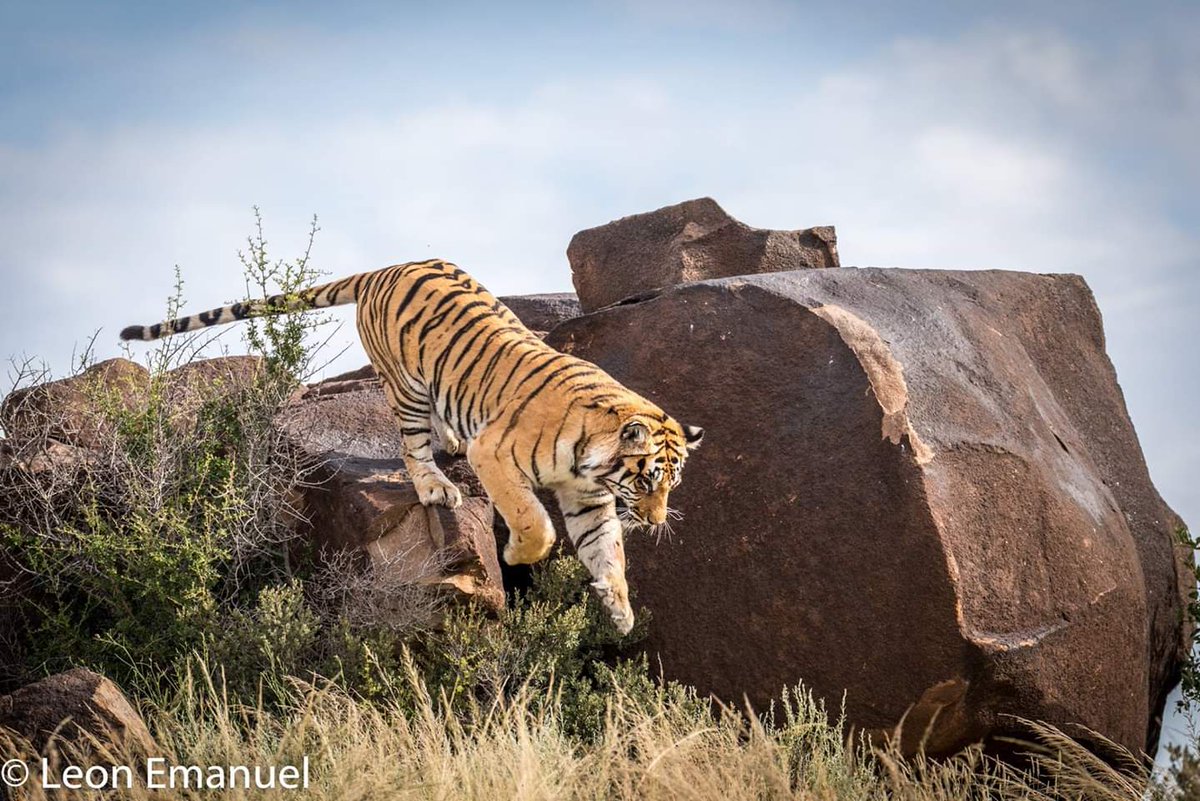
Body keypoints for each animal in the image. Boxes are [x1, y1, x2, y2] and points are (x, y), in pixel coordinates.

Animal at [120, 259, 702, 633]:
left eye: (671, 484)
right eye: (648, 479)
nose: (656, 521)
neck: (592, 464)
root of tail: (385, 268)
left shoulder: (588, 498)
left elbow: (607, 549)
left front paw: (620, 609)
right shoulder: (496, 456)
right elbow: (534, 522)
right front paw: (515, 553)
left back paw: (450, 440)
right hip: (407, 385)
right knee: (412, 447)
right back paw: (436, 485)